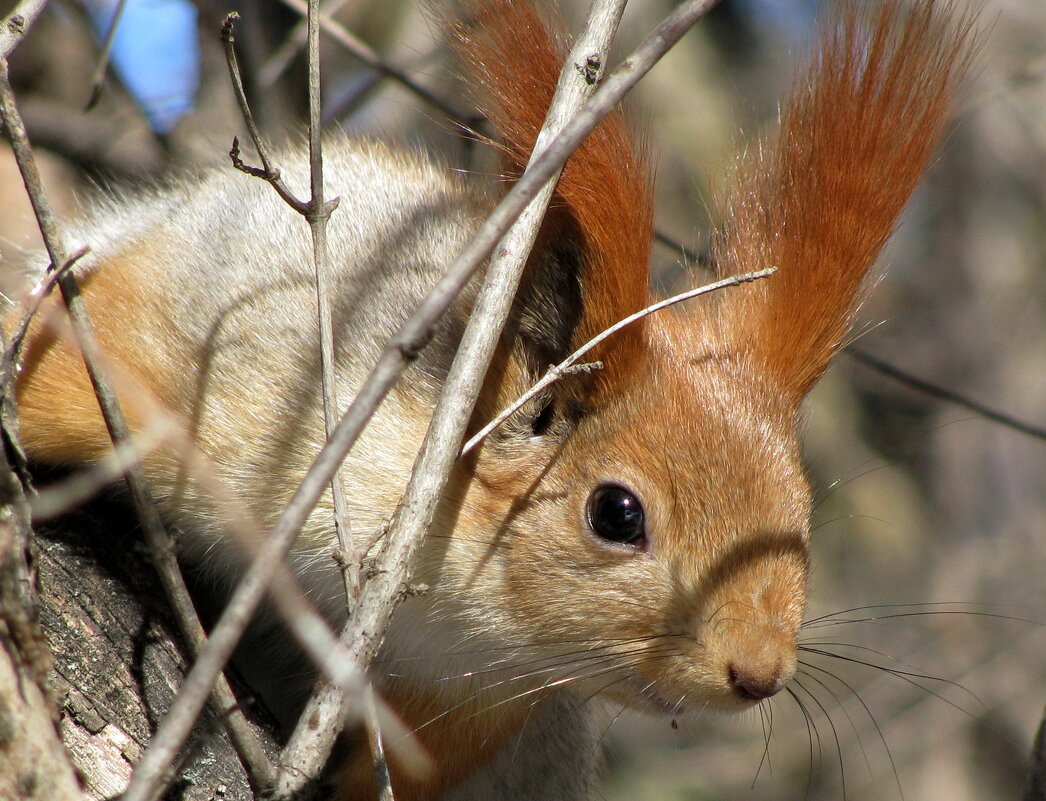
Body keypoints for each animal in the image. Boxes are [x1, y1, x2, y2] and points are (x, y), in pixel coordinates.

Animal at [4, 1, 974, 801]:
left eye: (803, 514)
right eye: (617, 512)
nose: (761, 671)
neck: (471, 612)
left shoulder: (467, 702)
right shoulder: (230, 394)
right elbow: (76, 377)